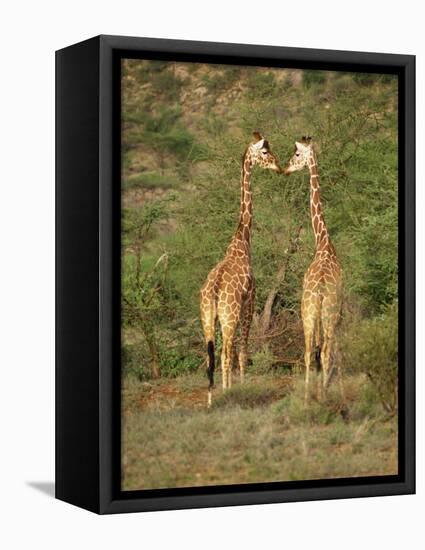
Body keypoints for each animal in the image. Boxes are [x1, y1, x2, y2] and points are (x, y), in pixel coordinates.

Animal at [200, 134, 280, 410]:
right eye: (265, 151)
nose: (278, 166)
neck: (242, 240)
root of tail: (214, 290)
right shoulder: (251, 300)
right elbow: (243, 351)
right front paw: (243, 387)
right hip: (230, 315)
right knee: (226, 353)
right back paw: (227, 394)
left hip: (208, 318)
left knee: (211, 355)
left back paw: (211, 400)